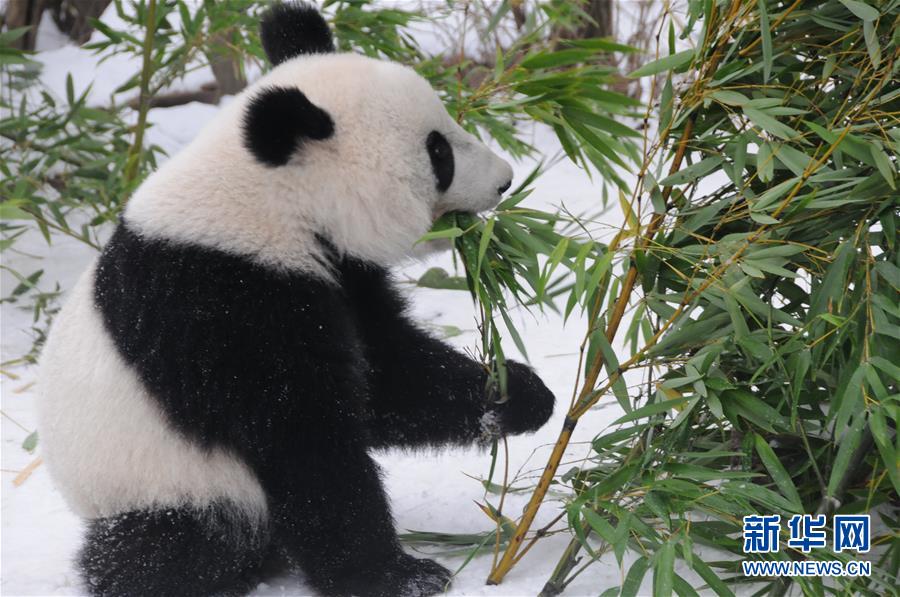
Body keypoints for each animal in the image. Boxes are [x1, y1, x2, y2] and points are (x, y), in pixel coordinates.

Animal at [40, 2, 556, 592]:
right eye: (438, 151)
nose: (505, 180)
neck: (272, 200)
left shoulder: (339, 273)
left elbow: (387, 378)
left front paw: (518, 392)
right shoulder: (225, 300)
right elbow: (305, 443)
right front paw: (395, 574)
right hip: (163, 481)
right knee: (171, 544)